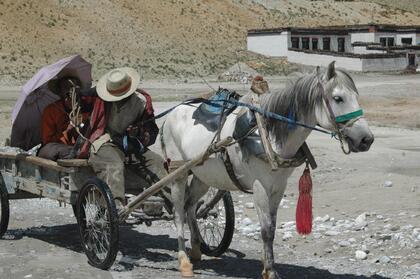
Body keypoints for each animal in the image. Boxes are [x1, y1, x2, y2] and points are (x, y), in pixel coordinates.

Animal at [161, 62, 374, 278]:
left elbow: (272, 228)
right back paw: (184, 260)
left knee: (190, 206)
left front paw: (267, 265)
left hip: (204, 175)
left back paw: (196, 250)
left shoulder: (279, 186)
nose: (367, 139)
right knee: (178, 212)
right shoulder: (260, 187)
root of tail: (173, 112)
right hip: (178, 173)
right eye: (338, 98)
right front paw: (270, 270)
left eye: (356, 96)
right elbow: (266, 230)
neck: (268, 134)